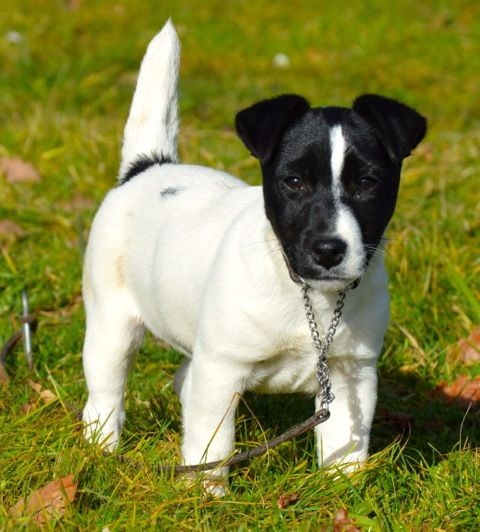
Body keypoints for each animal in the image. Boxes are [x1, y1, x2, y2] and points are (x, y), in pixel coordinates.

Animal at [82, 20, 428, 494]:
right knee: (105, 394)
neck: (308, 298)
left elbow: (347, 442)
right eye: (294, 181)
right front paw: (207, 495)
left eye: (367, 183)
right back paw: (101, 447)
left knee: (182, 380)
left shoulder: (350, 373)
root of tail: (149, 166)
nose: (328, 249)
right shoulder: (221, 369)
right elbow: (213, 444)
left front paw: (344, 492)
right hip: (111, 326)